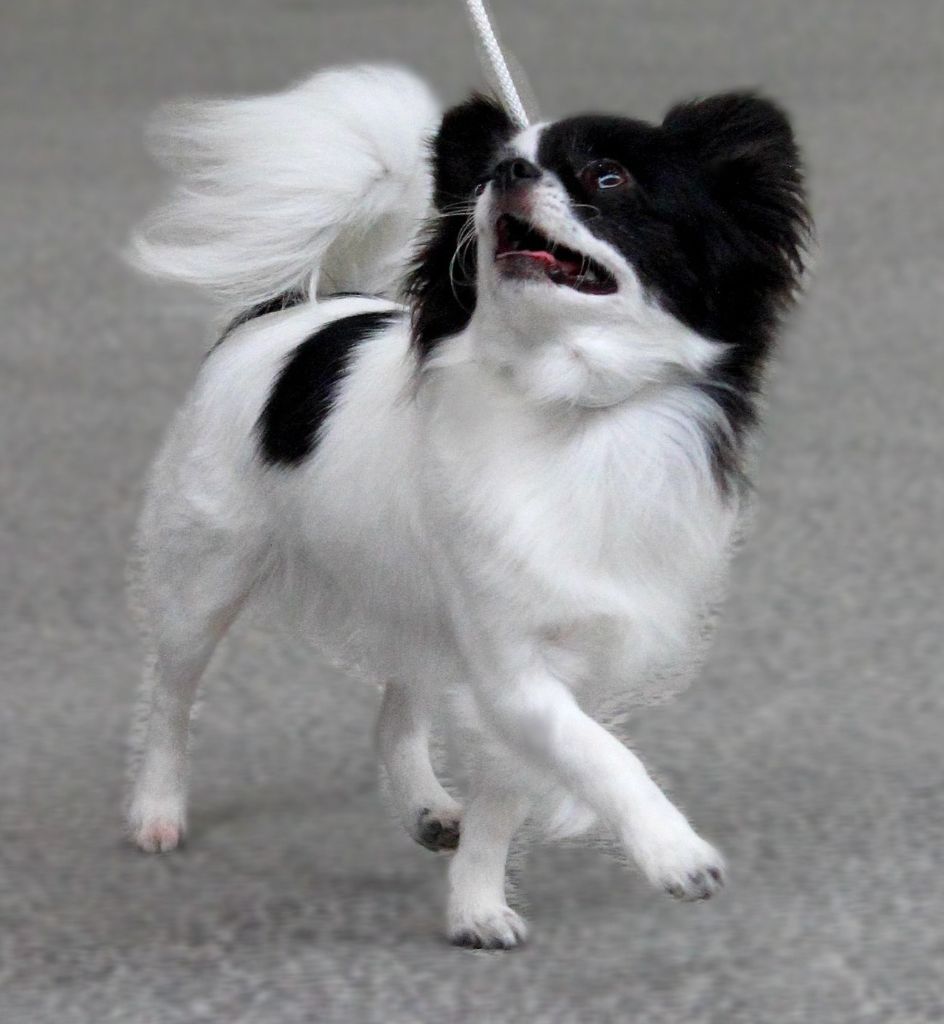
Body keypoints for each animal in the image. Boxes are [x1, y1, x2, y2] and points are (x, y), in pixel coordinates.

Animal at [124, 61, 806, 942]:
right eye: (487, 177)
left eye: (607, 178)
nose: (508, 173)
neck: (573, 407)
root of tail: (285, 310)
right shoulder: (514, 669)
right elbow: (601, 753)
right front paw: (671, 852)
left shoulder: (554, 658)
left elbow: (508, 793)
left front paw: (476, 903)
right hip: (207, 575)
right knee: (172, 694)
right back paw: (156, 811)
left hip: (414, 604)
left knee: (393, 711)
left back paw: (423, 805)